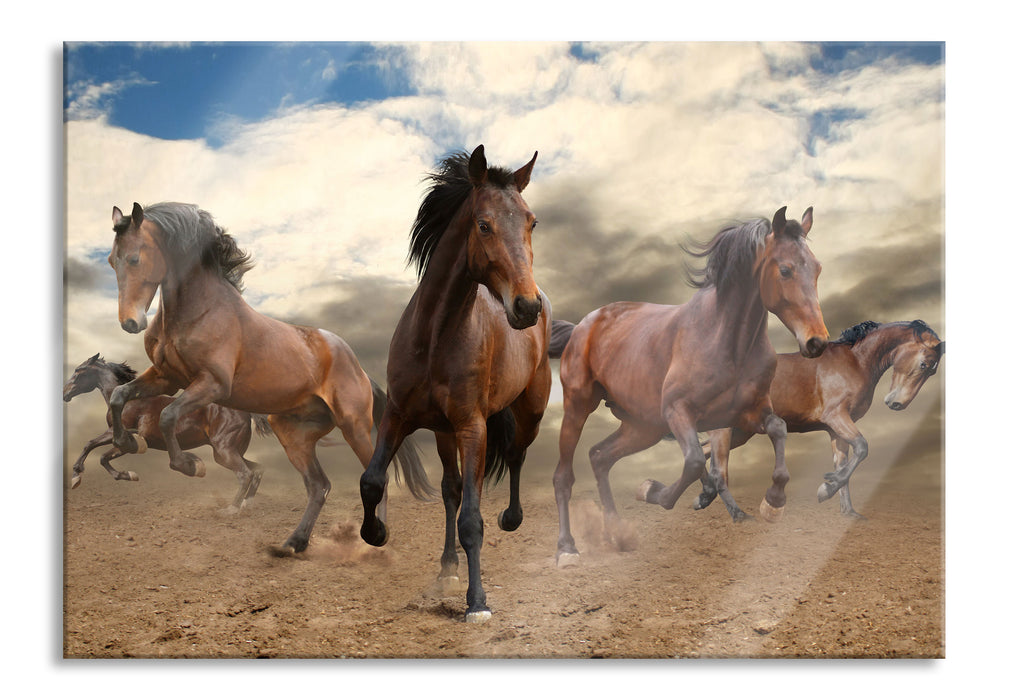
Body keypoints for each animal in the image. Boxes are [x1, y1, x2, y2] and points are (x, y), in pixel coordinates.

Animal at [63, 353, 272, 512]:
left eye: (78, 370)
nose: (65, 393)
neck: (128, 401)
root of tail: (245, 412)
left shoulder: (120, 434)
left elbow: (93, 446)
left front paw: (76, 476)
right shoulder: (124, 439)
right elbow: (101, 455)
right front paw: (127, 475)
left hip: (224, 451)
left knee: (245, 474)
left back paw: (232, 509)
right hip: (229, 452)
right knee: (257, 469)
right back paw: (246, 503)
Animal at [105, 201, 434, 556]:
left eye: (134, 258)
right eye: (111, 261)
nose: (130, 323)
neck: (200, 311)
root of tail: (358, 368)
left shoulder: (212, 384)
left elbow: (167, 415)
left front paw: (191, 465)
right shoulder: (167, 378)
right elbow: (120, 397)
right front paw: (127, 442)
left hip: (354, 427)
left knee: (375, 479)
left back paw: (376, 538)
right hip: (293, 434)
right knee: (319, 486)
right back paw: (294, 543)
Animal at [358, 145, 551, 622]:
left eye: (531, 222)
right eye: (483, 224)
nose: (526, 307)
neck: (434, 337)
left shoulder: (472, 427)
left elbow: (472, 520)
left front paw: (477, 602)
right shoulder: (398, 415)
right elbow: (372, 480)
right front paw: (376, 533)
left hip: (529, 412)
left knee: (515, 455)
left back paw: (511, 519)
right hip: (443, 432)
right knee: (450, 489)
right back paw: (447, 568)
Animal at [550, 207, 829, 566]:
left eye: (817, 268)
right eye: (785, 269)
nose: (817, 342)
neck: (727, 342)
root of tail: (582, 327)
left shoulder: (748, 413)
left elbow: (777, 429)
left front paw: (773, 503)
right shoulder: (678, 411)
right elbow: (695, 459)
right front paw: (653, 490)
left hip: (643, 427)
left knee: (599, 457)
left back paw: (618, 534)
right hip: (579, 406)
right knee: (564, 475)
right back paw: (567, 549)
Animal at [698, 319, 944, 519]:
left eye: (932, 371)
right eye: (923, 364)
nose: (897, 404)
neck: (856, 361)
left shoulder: (836, 430)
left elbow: (844, 463)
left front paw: (848, 511)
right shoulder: (837, 417)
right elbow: (862, 447)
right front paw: (826, 489)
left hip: (739, 433)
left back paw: (703, 499)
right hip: (725, 430)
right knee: (719, 472)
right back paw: (739, 514)